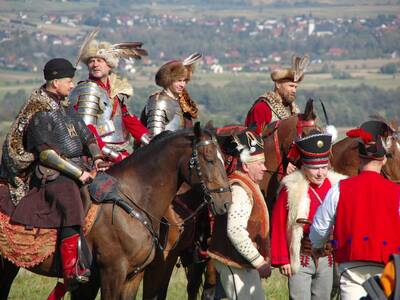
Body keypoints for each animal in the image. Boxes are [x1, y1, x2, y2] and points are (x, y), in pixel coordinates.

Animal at [0, 122, 231, 300]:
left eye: (223, 159)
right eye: (209, 159)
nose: (226, 202)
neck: (134, 200)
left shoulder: (133, 276)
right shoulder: (113, 273)